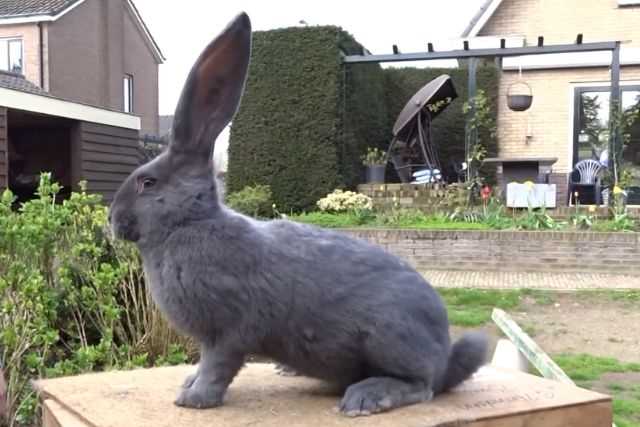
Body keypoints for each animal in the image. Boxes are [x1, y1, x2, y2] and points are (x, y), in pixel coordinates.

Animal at [110, 11, 488, 416]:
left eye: (147, 183)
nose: (112, 220)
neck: (192, 221)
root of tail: (444, 359)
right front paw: (188, 385)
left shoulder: (228, 333)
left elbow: (217, 366)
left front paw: (194, 400)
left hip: (388, 334)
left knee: (422, 386)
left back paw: (365, 398)